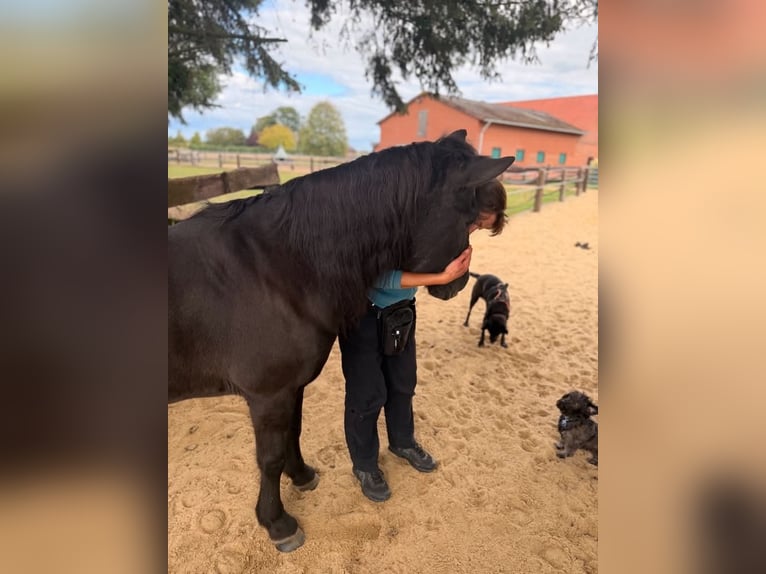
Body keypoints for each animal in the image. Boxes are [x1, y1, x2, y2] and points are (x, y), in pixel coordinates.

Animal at [168, 129, 514, 551]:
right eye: (468, 220)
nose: (458, 284)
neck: (274, 266)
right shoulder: (268, 394)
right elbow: (269, 458)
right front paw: (278, 524)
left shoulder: (291, 388)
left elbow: (293, 433)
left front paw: (302, 477)